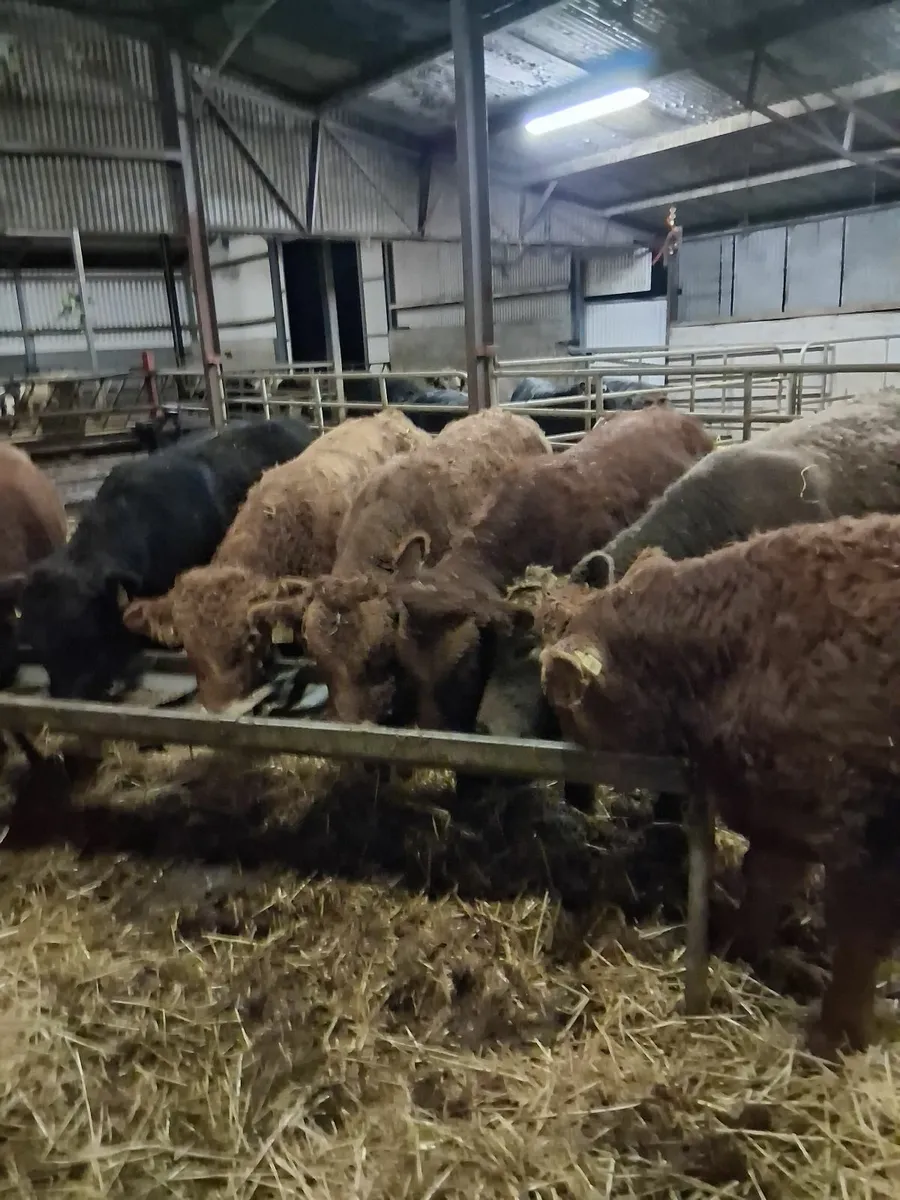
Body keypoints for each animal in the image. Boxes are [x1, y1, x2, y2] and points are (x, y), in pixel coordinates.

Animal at [540, 513, 900, 1059]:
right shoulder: (782, 815)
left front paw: (833, 1037)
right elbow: (763, 891)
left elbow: (856, 947)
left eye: (559, 696)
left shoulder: (866, 841)